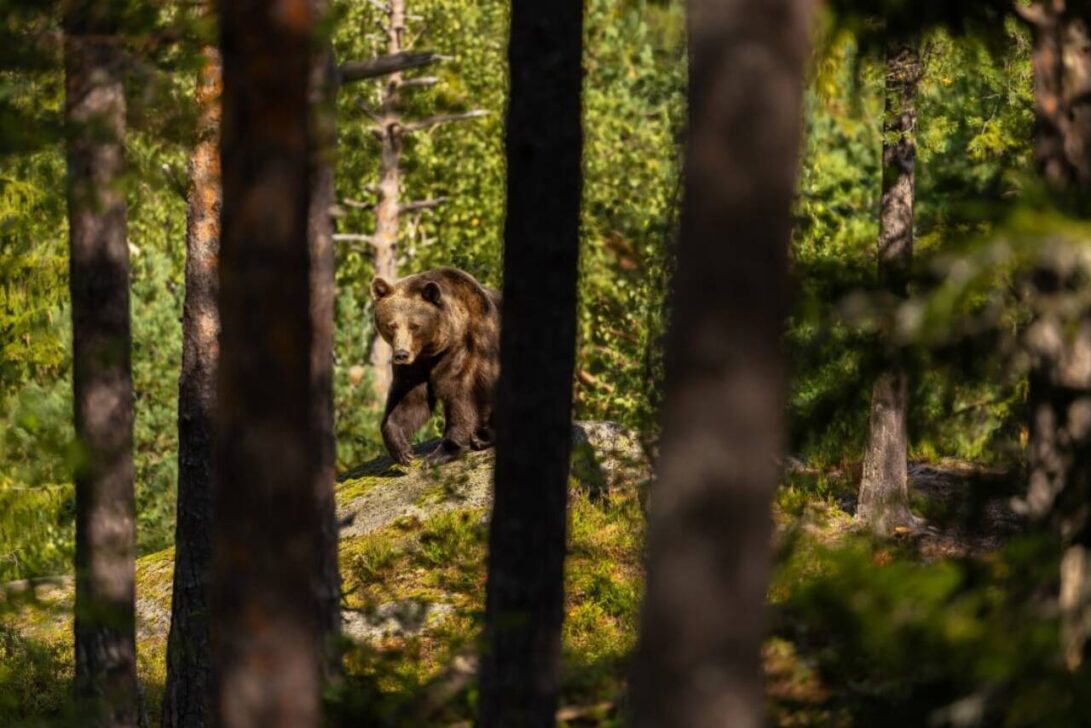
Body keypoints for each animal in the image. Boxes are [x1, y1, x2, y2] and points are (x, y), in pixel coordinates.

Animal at [371, 267, 501, 466]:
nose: (401, 354)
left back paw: (481, 438)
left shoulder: (466, 350)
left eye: (414, 325)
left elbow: (460, 395)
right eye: (391, 325)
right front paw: (402, 450)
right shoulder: (416, 365)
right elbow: (411, 400)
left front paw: (441, 452)